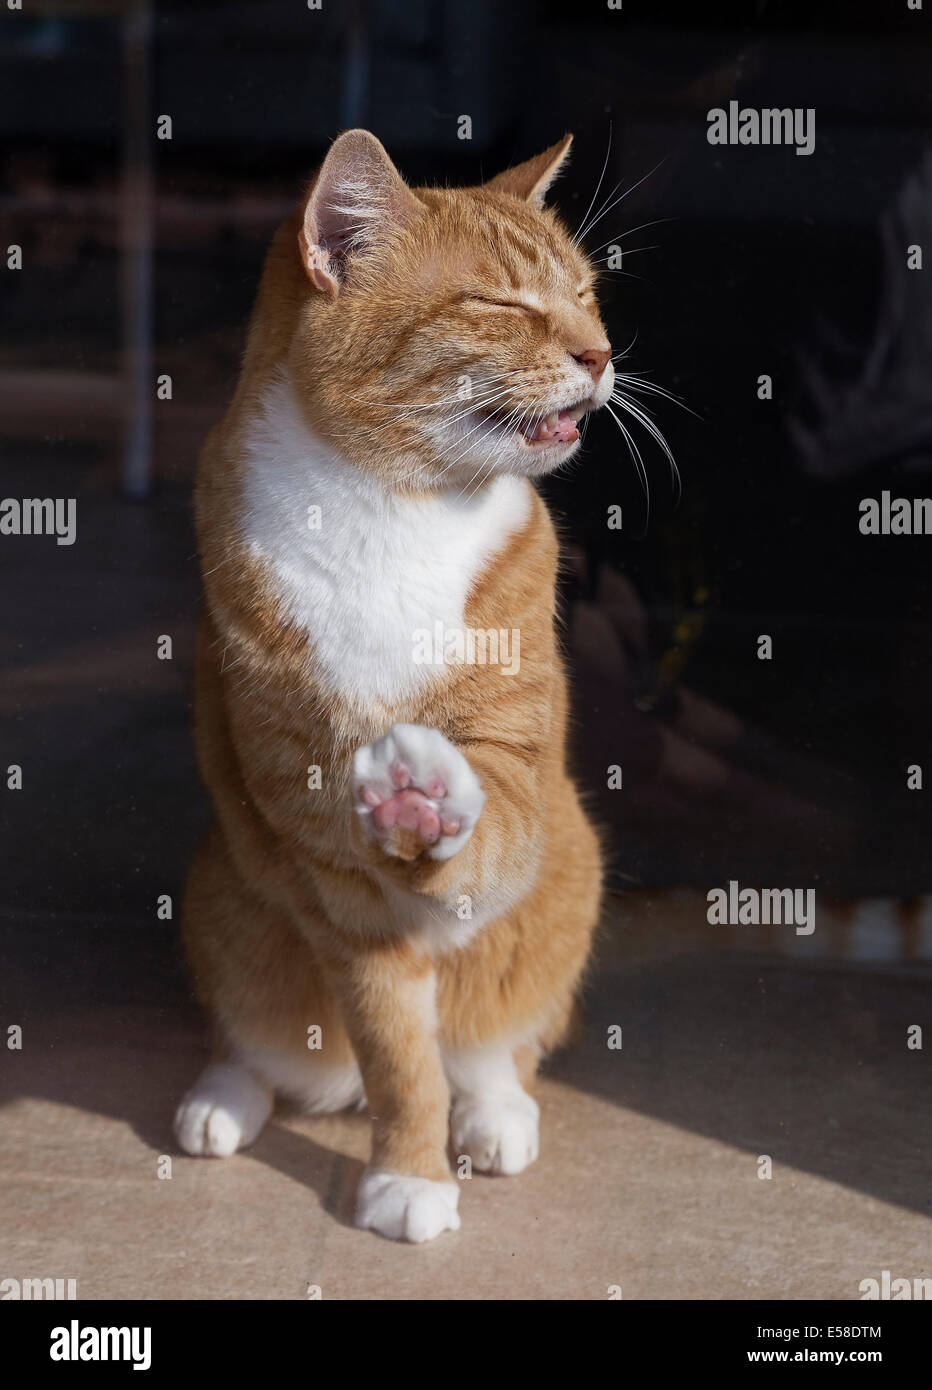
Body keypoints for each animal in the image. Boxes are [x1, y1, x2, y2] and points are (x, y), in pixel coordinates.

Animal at [174, 127, 611, 1239]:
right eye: (501, 304)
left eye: (587, 295)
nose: (601, 356)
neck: (392, 505)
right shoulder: (325, 861)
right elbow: (397, 1051)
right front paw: (410, 1173)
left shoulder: (512, 768)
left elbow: (485, 834)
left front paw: (425, 796)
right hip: (226, 888)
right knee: (261, 1035)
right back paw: (224, 1093)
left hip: (571, 869)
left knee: (498, 1042)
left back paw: (494, 1115)